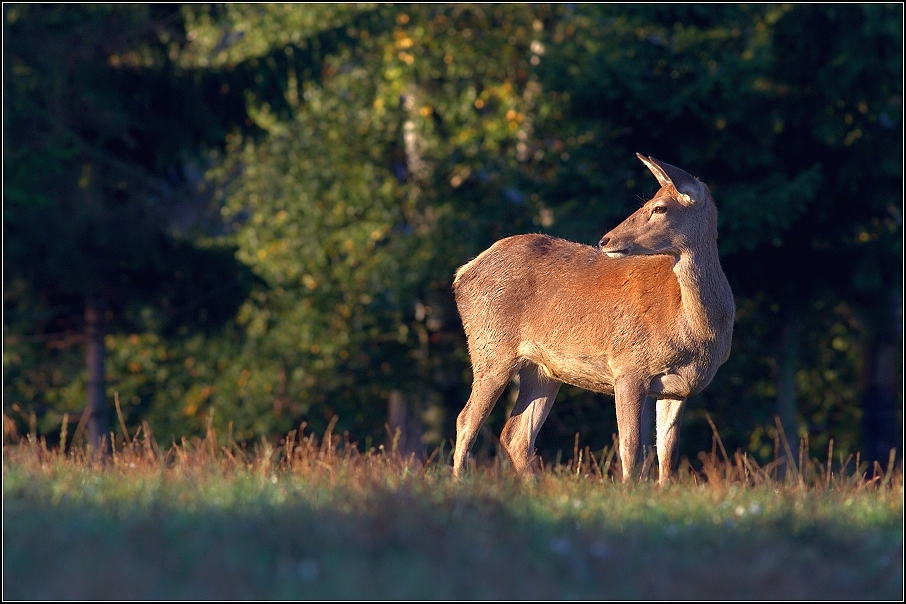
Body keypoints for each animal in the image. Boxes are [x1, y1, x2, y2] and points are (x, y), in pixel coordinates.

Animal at [452, 153, 736, 484]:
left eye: (659, 207)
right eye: (649, 201)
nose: (605, 240)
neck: (696, 331)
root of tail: (463, 272)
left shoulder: (680, 389)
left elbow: (667, 453)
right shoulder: (629, 365)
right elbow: (630, 446)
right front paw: (629, 490)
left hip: (542, 370)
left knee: (516, 435)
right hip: (491, 348)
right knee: (466, 421)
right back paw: (458, 483)